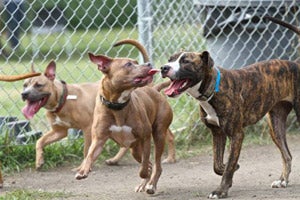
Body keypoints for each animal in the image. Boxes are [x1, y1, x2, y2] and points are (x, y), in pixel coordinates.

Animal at [75, 39, 173, 195]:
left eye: (136, 62)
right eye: (128, 64)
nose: (149, 64)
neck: (118, 105)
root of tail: (153, 89)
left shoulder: (145, 138)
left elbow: (144, 167)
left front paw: (144, 175)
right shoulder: (99, 140)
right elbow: (89, 155)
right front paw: (83, 170)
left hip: (158, 135)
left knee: (156, 164)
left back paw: (151, 185)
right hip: (135, 150)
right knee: (150, 163)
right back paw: (144, 184)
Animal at [161, 50, 300, 198]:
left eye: (186, 61)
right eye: (169, 60)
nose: (163, 68)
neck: (213, 89)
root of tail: (296, 63)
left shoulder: (237, 135)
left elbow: (229, 166)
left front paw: (221, 190)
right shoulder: (217, 133)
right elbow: (217, 165)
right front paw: (229, 170)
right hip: (275, 126)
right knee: (287, 155)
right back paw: (282, 180)